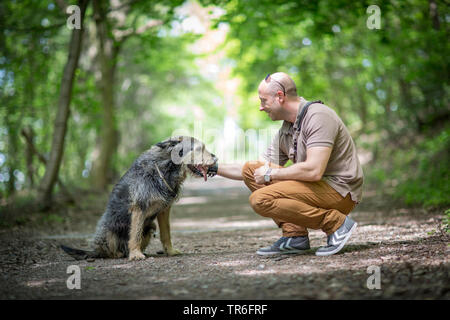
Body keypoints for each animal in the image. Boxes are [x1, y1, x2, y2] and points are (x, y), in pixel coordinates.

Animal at [60, 136, 217, 262]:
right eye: (199, 149)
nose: (216, 158)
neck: (164, 170)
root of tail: (96, 249)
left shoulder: (164, 210)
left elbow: (166, 233)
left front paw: (170, 251)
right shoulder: (139, 208)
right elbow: (135, 234)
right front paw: (135, 254)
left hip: (150, 227)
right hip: (110, 230)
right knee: (110, 251)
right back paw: (121, 253)